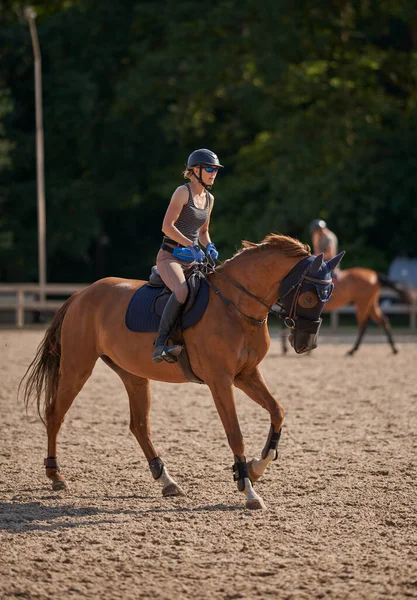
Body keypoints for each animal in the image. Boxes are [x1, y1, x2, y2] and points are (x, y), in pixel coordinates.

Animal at [20, 234, 342, 510]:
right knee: (55, 414)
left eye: (328, 295)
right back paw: (56, 475)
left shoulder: (246, 375)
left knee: (139, 425)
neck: (236, 305)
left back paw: (166, 480)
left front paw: (256, 467)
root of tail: (81, 293)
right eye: (310, 296)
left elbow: (277, 411)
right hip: (77, 368)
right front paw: (249, 489)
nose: (306, 343)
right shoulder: (220, 381)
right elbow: (235, 433)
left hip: (133, 375)